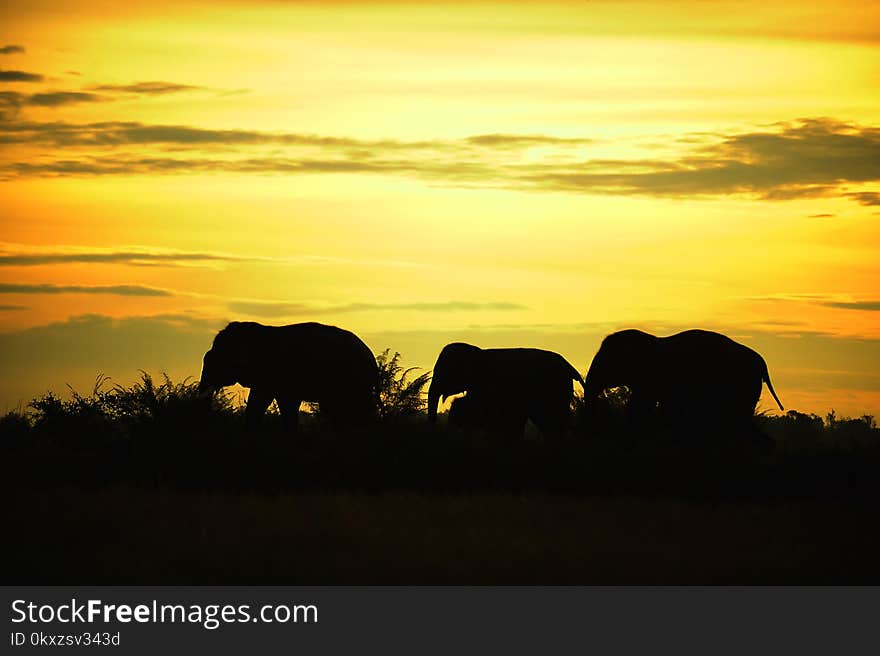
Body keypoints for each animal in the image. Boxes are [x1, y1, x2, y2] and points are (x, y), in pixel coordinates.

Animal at [199, 322, 378, 434]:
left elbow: (259, 401)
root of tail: (372, 359)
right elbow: (287, 405)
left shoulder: (270, 371)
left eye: (216, 363)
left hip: (354, 379)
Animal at [428, 340, 584, 438]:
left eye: (443, 371)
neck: (476, 352)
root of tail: (569, 366)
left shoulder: (485, 384)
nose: (435, 422)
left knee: (550, 422)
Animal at [584, 328, 784, 440]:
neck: (650, 341)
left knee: (735, 420)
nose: (593, 433)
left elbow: (647, 407)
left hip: (741, 385)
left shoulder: (659, 377)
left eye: (608, 360)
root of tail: (761, 363)